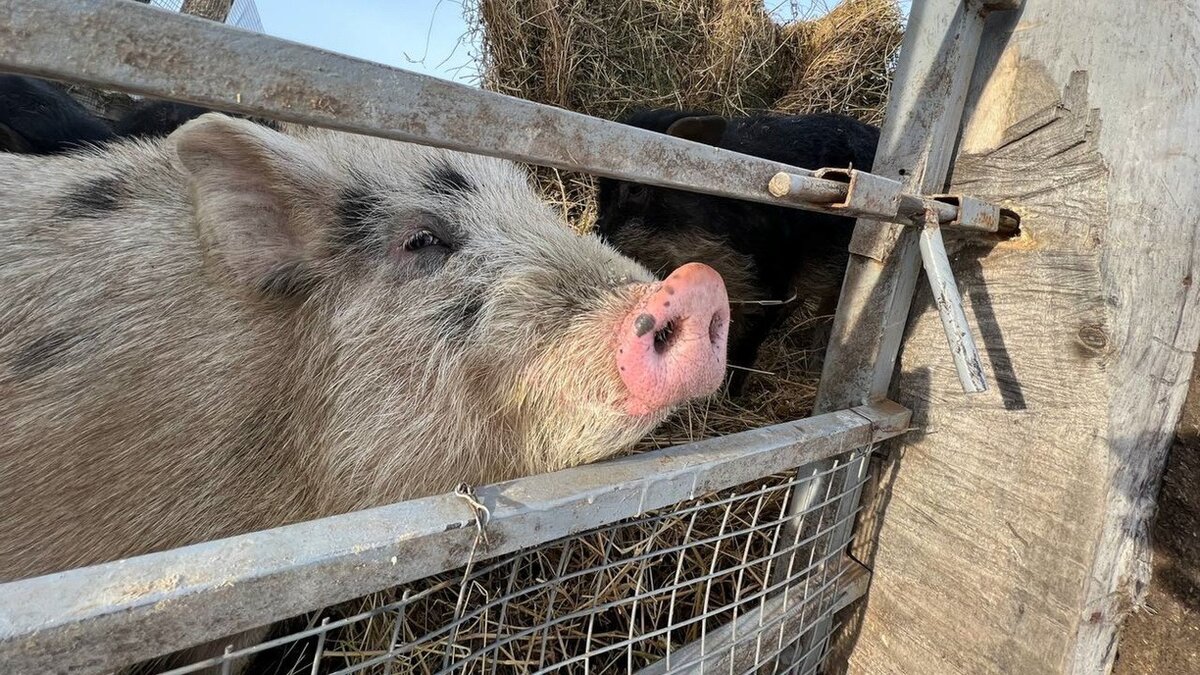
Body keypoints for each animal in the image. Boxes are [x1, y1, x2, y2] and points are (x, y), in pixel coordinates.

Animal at [595, 108, 878, 396]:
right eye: (600, 194)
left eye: (635, 189)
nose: (598, 238)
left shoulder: (771, 281)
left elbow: (747, 344)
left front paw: (730, 395)